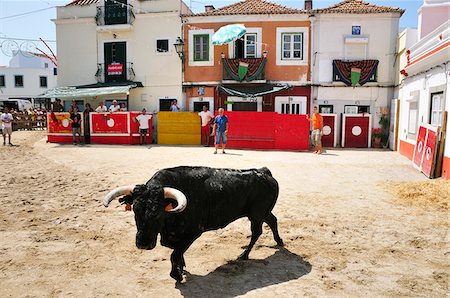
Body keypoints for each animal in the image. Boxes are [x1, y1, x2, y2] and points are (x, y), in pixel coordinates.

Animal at [103, 165, 284, 282]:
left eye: (159, 212)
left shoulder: (194, 232)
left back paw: (244, 255)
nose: (143, 244)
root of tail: (263, 172)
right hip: (263, 212)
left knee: (257, 232)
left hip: (256, 214)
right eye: (135, 209)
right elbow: (177, 252)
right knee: (272, 220)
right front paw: (181, 268)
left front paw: (176, 275)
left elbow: (175, 254)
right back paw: (279, 242)